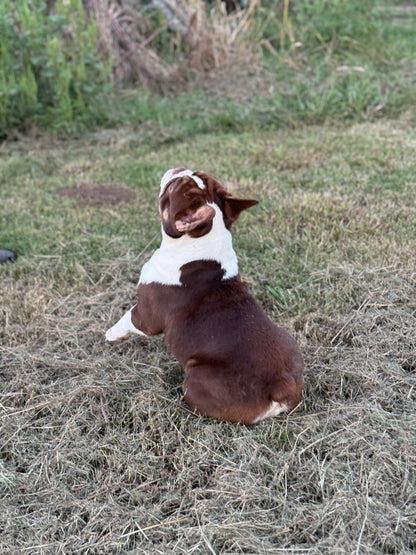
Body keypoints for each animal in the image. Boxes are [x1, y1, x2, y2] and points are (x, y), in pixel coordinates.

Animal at [105, 169, 304, 426]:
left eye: (173, 188)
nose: (178, 170)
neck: (199, 241)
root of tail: (282, 385)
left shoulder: (146, 317)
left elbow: (127, 317)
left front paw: (112, 334)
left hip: (197, 379)